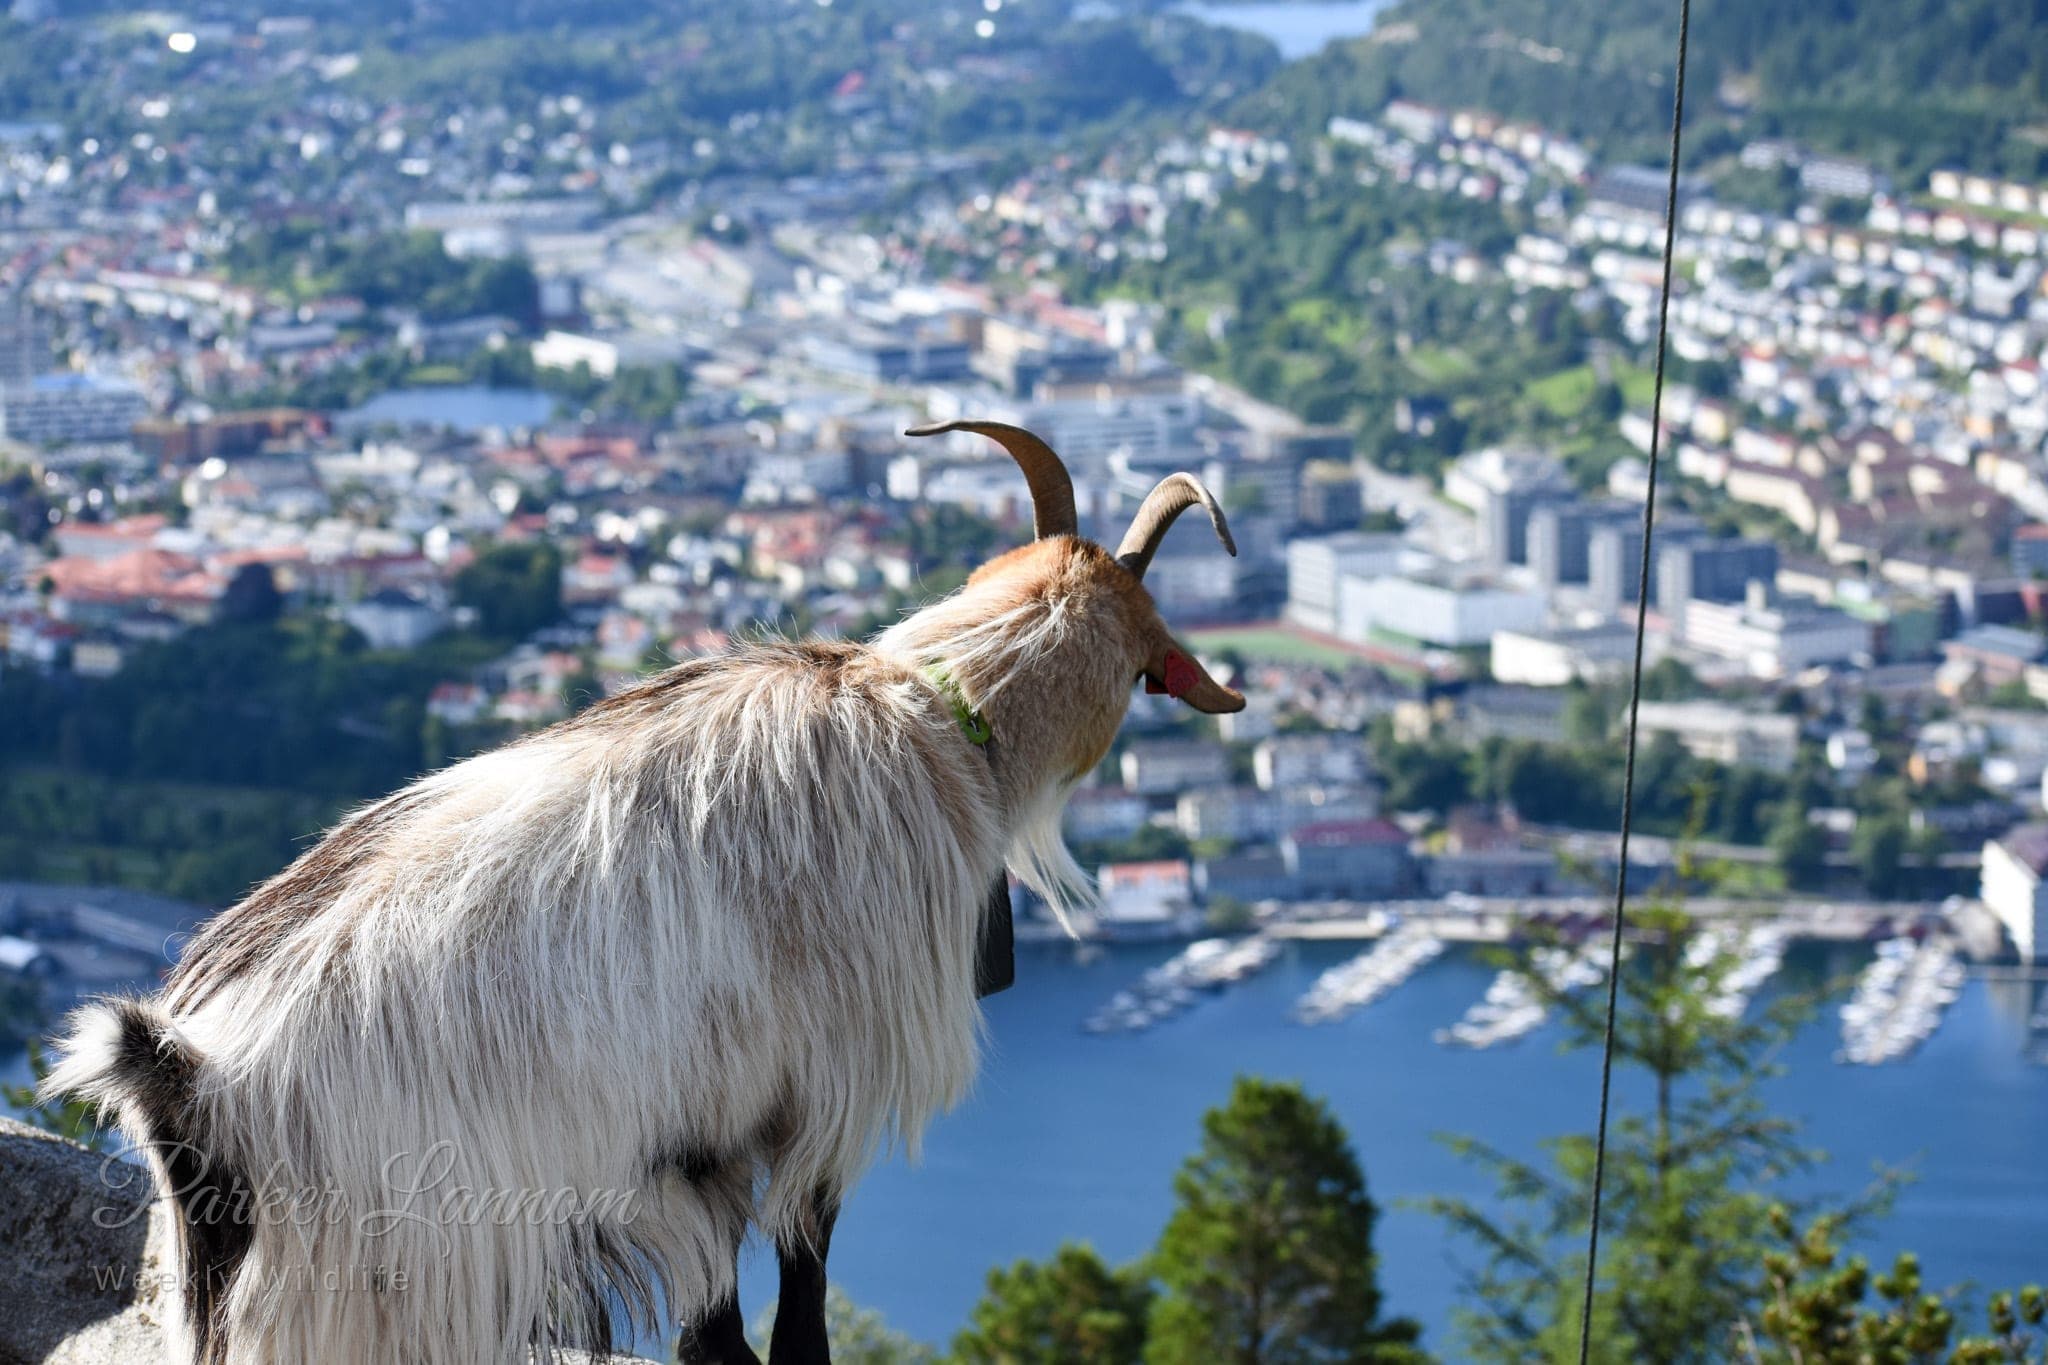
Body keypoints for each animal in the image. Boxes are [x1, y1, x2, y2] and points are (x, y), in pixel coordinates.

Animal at [42, 419, 1243, 1365]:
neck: (933, 714)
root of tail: (191, 1073)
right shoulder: (818, 1091)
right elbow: (795, 1294)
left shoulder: (685, 1149)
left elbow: (715, 1326)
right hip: (382, 1272)